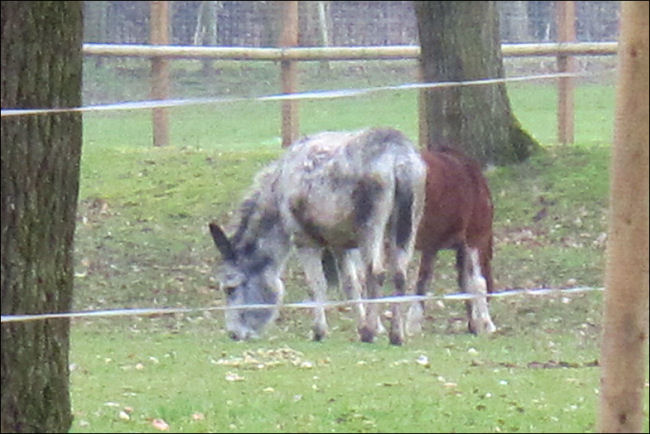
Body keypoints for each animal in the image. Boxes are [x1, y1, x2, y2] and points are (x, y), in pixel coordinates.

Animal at [416, 147, 496, 334]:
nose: (472, 328)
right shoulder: (475, 238)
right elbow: (478, 282)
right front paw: (487, 325)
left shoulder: (431, 247)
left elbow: (422, 283)